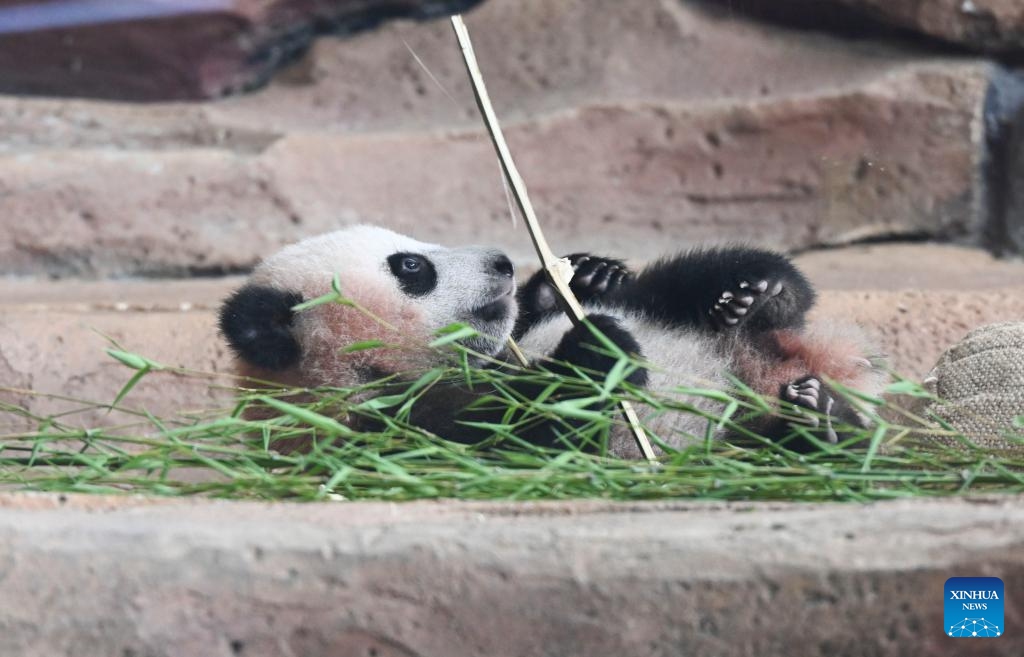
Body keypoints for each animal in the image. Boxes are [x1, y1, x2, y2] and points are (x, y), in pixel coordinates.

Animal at [218, 224, 887, 457]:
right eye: (412, 267)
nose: (500, 261)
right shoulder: (391, 435)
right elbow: (538, 438)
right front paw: (599, 354)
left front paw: (584, 276)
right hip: (735, 441)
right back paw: (819, 424)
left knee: (686, 282)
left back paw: (757, 295)